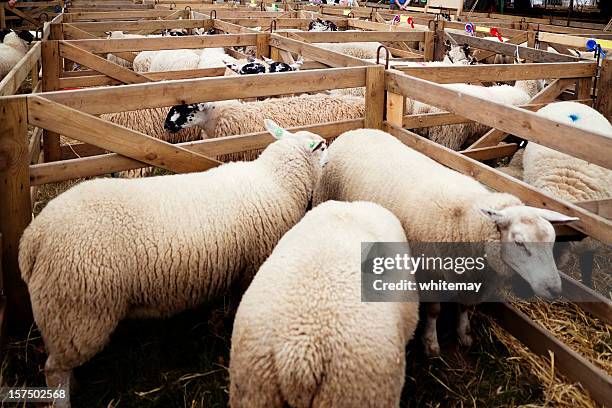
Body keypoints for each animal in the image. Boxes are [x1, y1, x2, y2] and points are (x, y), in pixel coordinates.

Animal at [17, 119, 330, 406]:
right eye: (322, 147)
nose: (332, 152)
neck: (276, 180)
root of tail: (33, 238)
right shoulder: (253, 264)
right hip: (77, 311)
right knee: (54, 369)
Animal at [316, 129, 580, 356]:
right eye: (519, 242)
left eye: (552, 241)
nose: (554, 289)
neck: (465, 219)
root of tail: (357, 130)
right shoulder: (429, 273)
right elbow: (434, 311)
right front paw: (431, 343)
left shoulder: (473, 280)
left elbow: (465, 307)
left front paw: (464, 334)